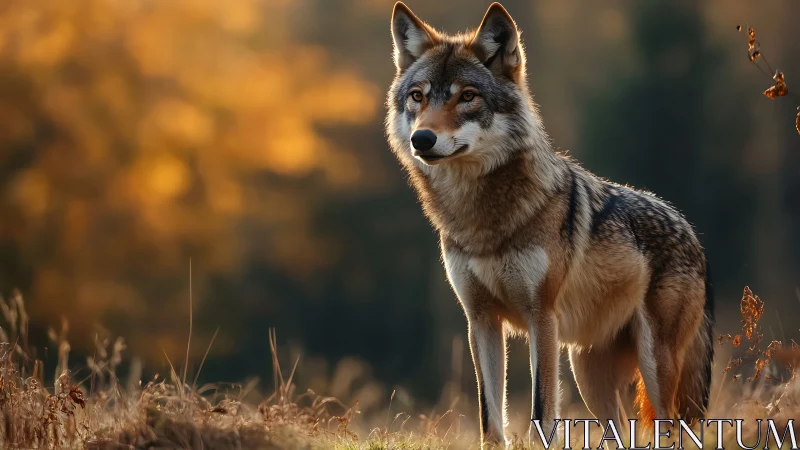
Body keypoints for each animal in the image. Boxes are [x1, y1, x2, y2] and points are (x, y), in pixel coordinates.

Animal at [384, 2, 715, 447]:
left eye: (467, 96)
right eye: (417, 97)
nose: (422, 139)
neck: (482, 220)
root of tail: (690, 229)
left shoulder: (541, 318)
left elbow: (542, 410)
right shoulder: (481, 321)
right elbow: (490, 415)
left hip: (654, 371)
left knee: (672, 427)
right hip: (588, 375)